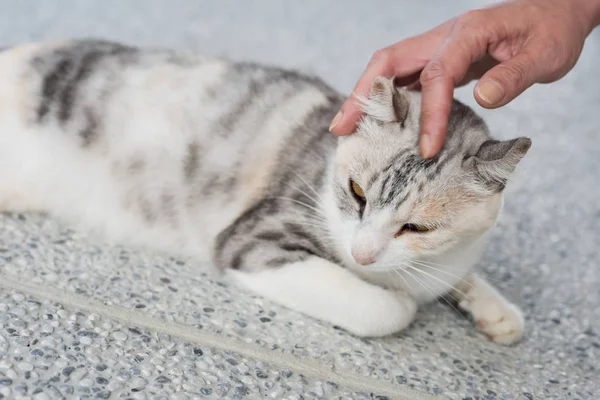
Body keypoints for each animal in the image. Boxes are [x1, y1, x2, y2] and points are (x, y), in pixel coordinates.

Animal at [0, 39, 528, 344]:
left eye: (417, 226)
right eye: (357, 192)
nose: (361, 254)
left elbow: (459, 277)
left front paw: (495, 309)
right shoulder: (254, 238)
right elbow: (384, 308)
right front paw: (400, 301)